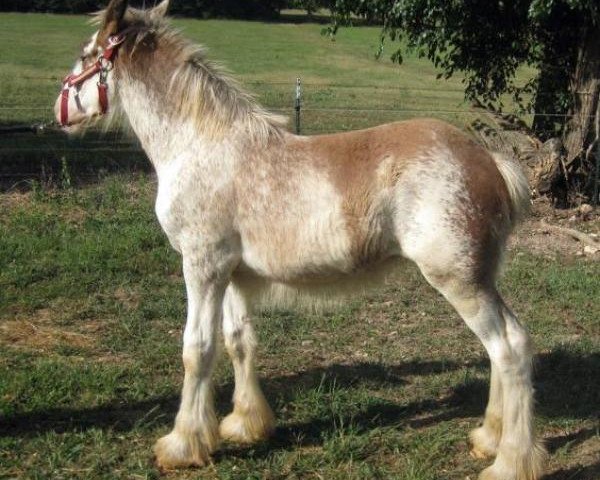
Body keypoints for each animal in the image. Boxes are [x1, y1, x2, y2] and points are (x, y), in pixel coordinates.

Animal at [56, 1, 548, 478]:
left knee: (509, 349)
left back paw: (511, 462)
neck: (199, 146)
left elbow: (197, 350)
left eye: (85, 54)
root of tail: (488, 160)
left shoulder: (202, 266)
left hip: (460, 282)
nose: (60, 110)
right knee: (503, 348)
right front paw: (244, 425)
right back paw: (488, 438)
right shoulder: (231, 274)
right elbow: (238, 340)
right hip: (481, 280)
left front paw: (182, 446)